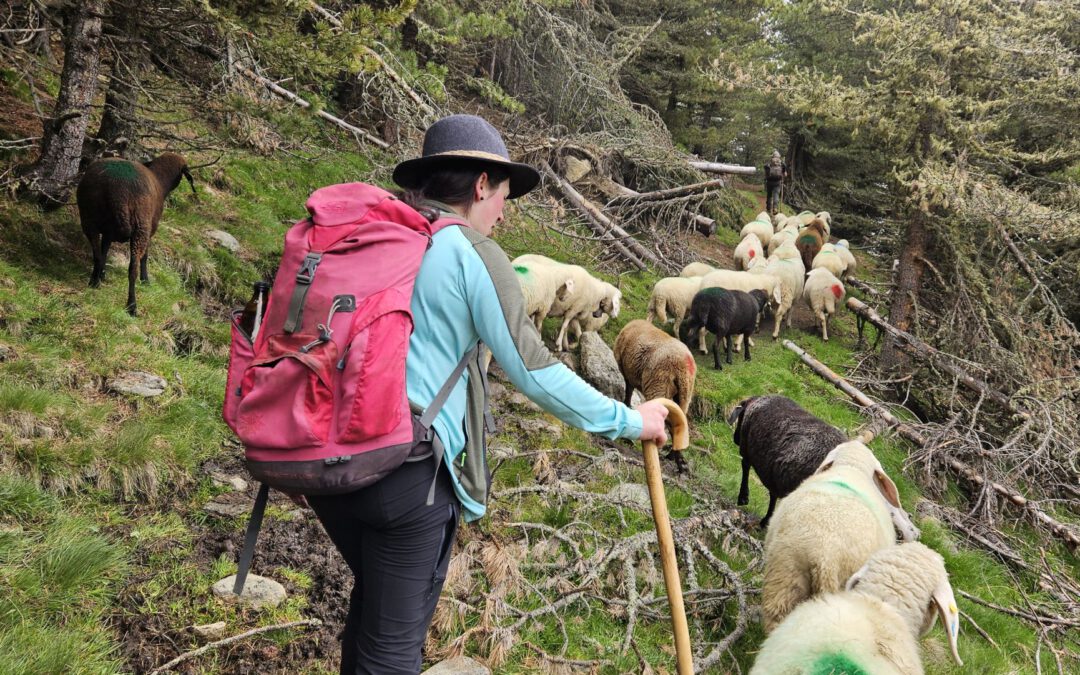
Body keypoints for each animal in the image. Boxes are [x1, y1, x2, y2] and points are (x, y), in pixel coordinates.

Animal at [77, 151, 195, 315]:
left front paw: (102, 274)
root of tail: (115, 189)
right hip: (140, 228)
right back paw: (132, 306)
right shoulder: (149, 231)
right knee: (133, 267)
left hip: (89, 218)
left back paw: (94, 281)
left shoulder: (108, 232)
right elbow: (145, 257)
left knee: (97, 255)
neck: (160, 181)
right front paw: (145, 280)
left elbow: (105, 250)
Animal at [613, 317, 695, 470]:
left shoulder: (627, 373)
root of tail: (682, 366)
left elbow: (628, 394)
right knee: (679, 424)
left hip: (659, 386)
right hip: (684, 395)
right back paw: (677, 459)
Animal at [725, 395, 851, 527]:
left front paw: (744, 498)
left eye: (740, 417)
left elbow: (746, 468)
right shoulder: (774, 475)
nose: (735, 439)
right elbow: (773, 496)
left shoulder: (748, 450)